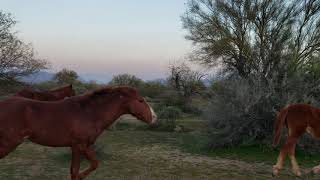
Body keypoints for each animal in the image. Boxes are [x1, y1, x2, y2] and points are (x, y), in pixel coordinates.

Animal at [0, 86, 156, 179]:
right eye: (140, 101)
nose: (154, 117)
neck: (89, 113)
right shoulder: (81, 145)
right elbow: (91, 165)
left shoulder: (77, 147)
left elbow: (77, 170)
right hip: (8, 144)